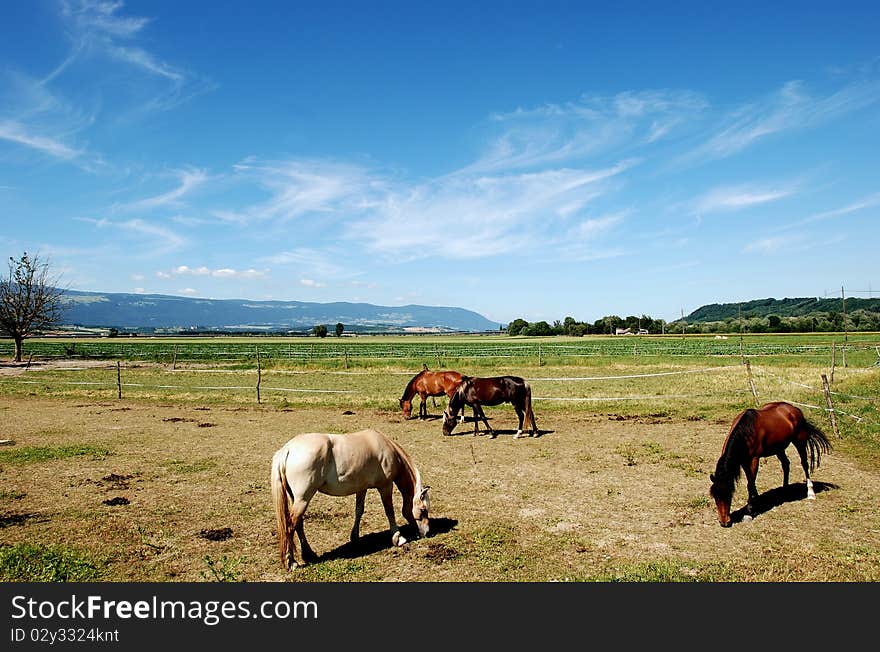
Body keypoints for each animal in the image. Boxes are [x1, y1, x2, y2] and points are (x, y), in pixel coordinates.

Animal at [272, 426, 430, 568]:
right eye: (423, 510)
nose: (426, 532)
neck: (386, 448)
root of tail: (288, 449)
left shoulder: (362, 488)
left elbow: (359, 511)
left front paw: (355, 538)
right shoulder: (385, 486)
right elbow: (389, 511)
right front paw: (398, 538)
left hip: (297, 499)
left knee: (298, 524)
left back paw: (309, 554)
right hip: (303, 499)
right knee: (290, 526)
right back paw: (291, 562)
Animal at [708, 400, 832, 528]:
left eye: (729, 495)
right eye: (715, 497)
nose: (724, 522)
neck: (747, 431)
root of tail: (794, 409)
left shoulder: (754, 459)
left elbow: (750, 484)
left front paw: (749, 512)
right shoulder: (743, 461)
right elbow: (751, 483)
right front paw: (756, 503)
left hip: (799, 441)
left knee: (804, 464)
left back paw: (810, 493)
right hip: (779, 448)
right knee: (786, 464)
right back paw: (784, 490)